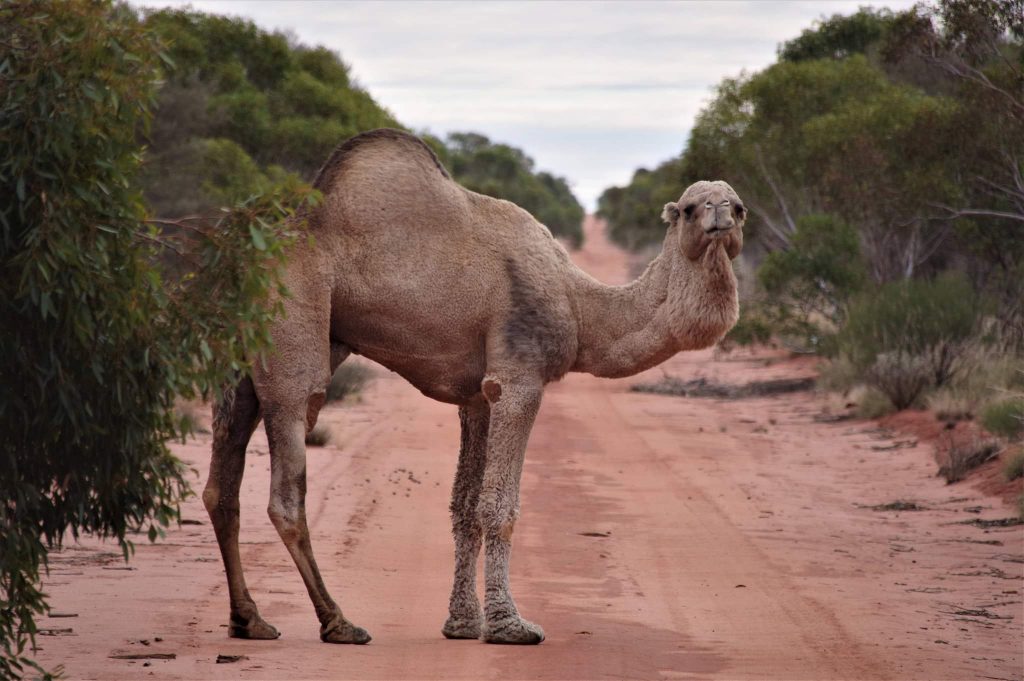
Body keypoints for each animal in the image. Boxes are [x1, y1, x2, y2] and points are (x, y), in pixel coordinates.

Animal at [201, 129, 745, 647]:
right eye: (692, 207)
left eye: (737, 205)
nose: (722, 215)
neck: (579, 306)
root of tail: (237, 258)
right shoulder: (520, 377)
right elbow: (497, 507)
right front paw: (510, 626)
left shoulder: (479, 395)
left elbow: (464, 507)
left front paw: (462, 623)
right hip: (293, 318)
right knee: (287, 476)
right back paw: (338, 622)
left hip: (243, 355)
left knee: (221, 484)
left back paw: (249, 619)